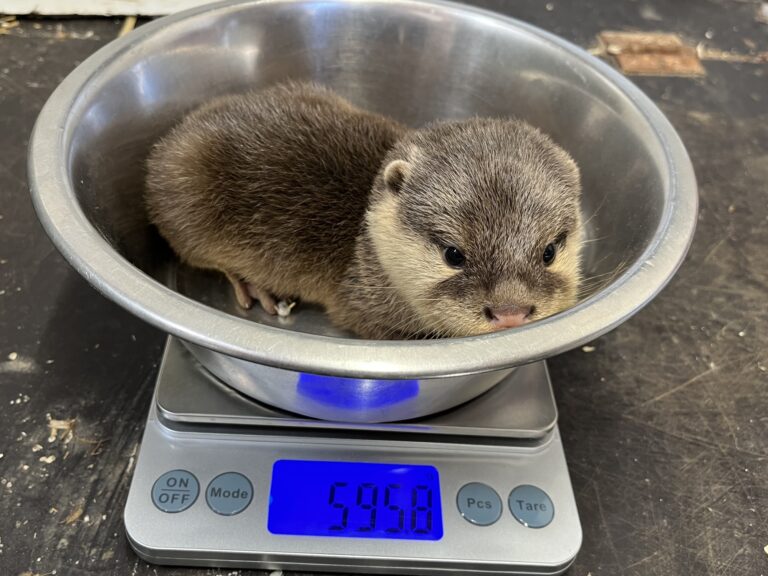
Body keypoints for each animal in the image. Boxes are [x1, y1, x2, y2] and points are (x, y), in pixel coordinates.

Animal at [144, 83, 584, 340]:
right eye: (453, 255)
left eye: (549, 251)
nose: (511, 314)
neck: (366, 248)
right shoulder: (363, 309)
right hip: (187, 193)